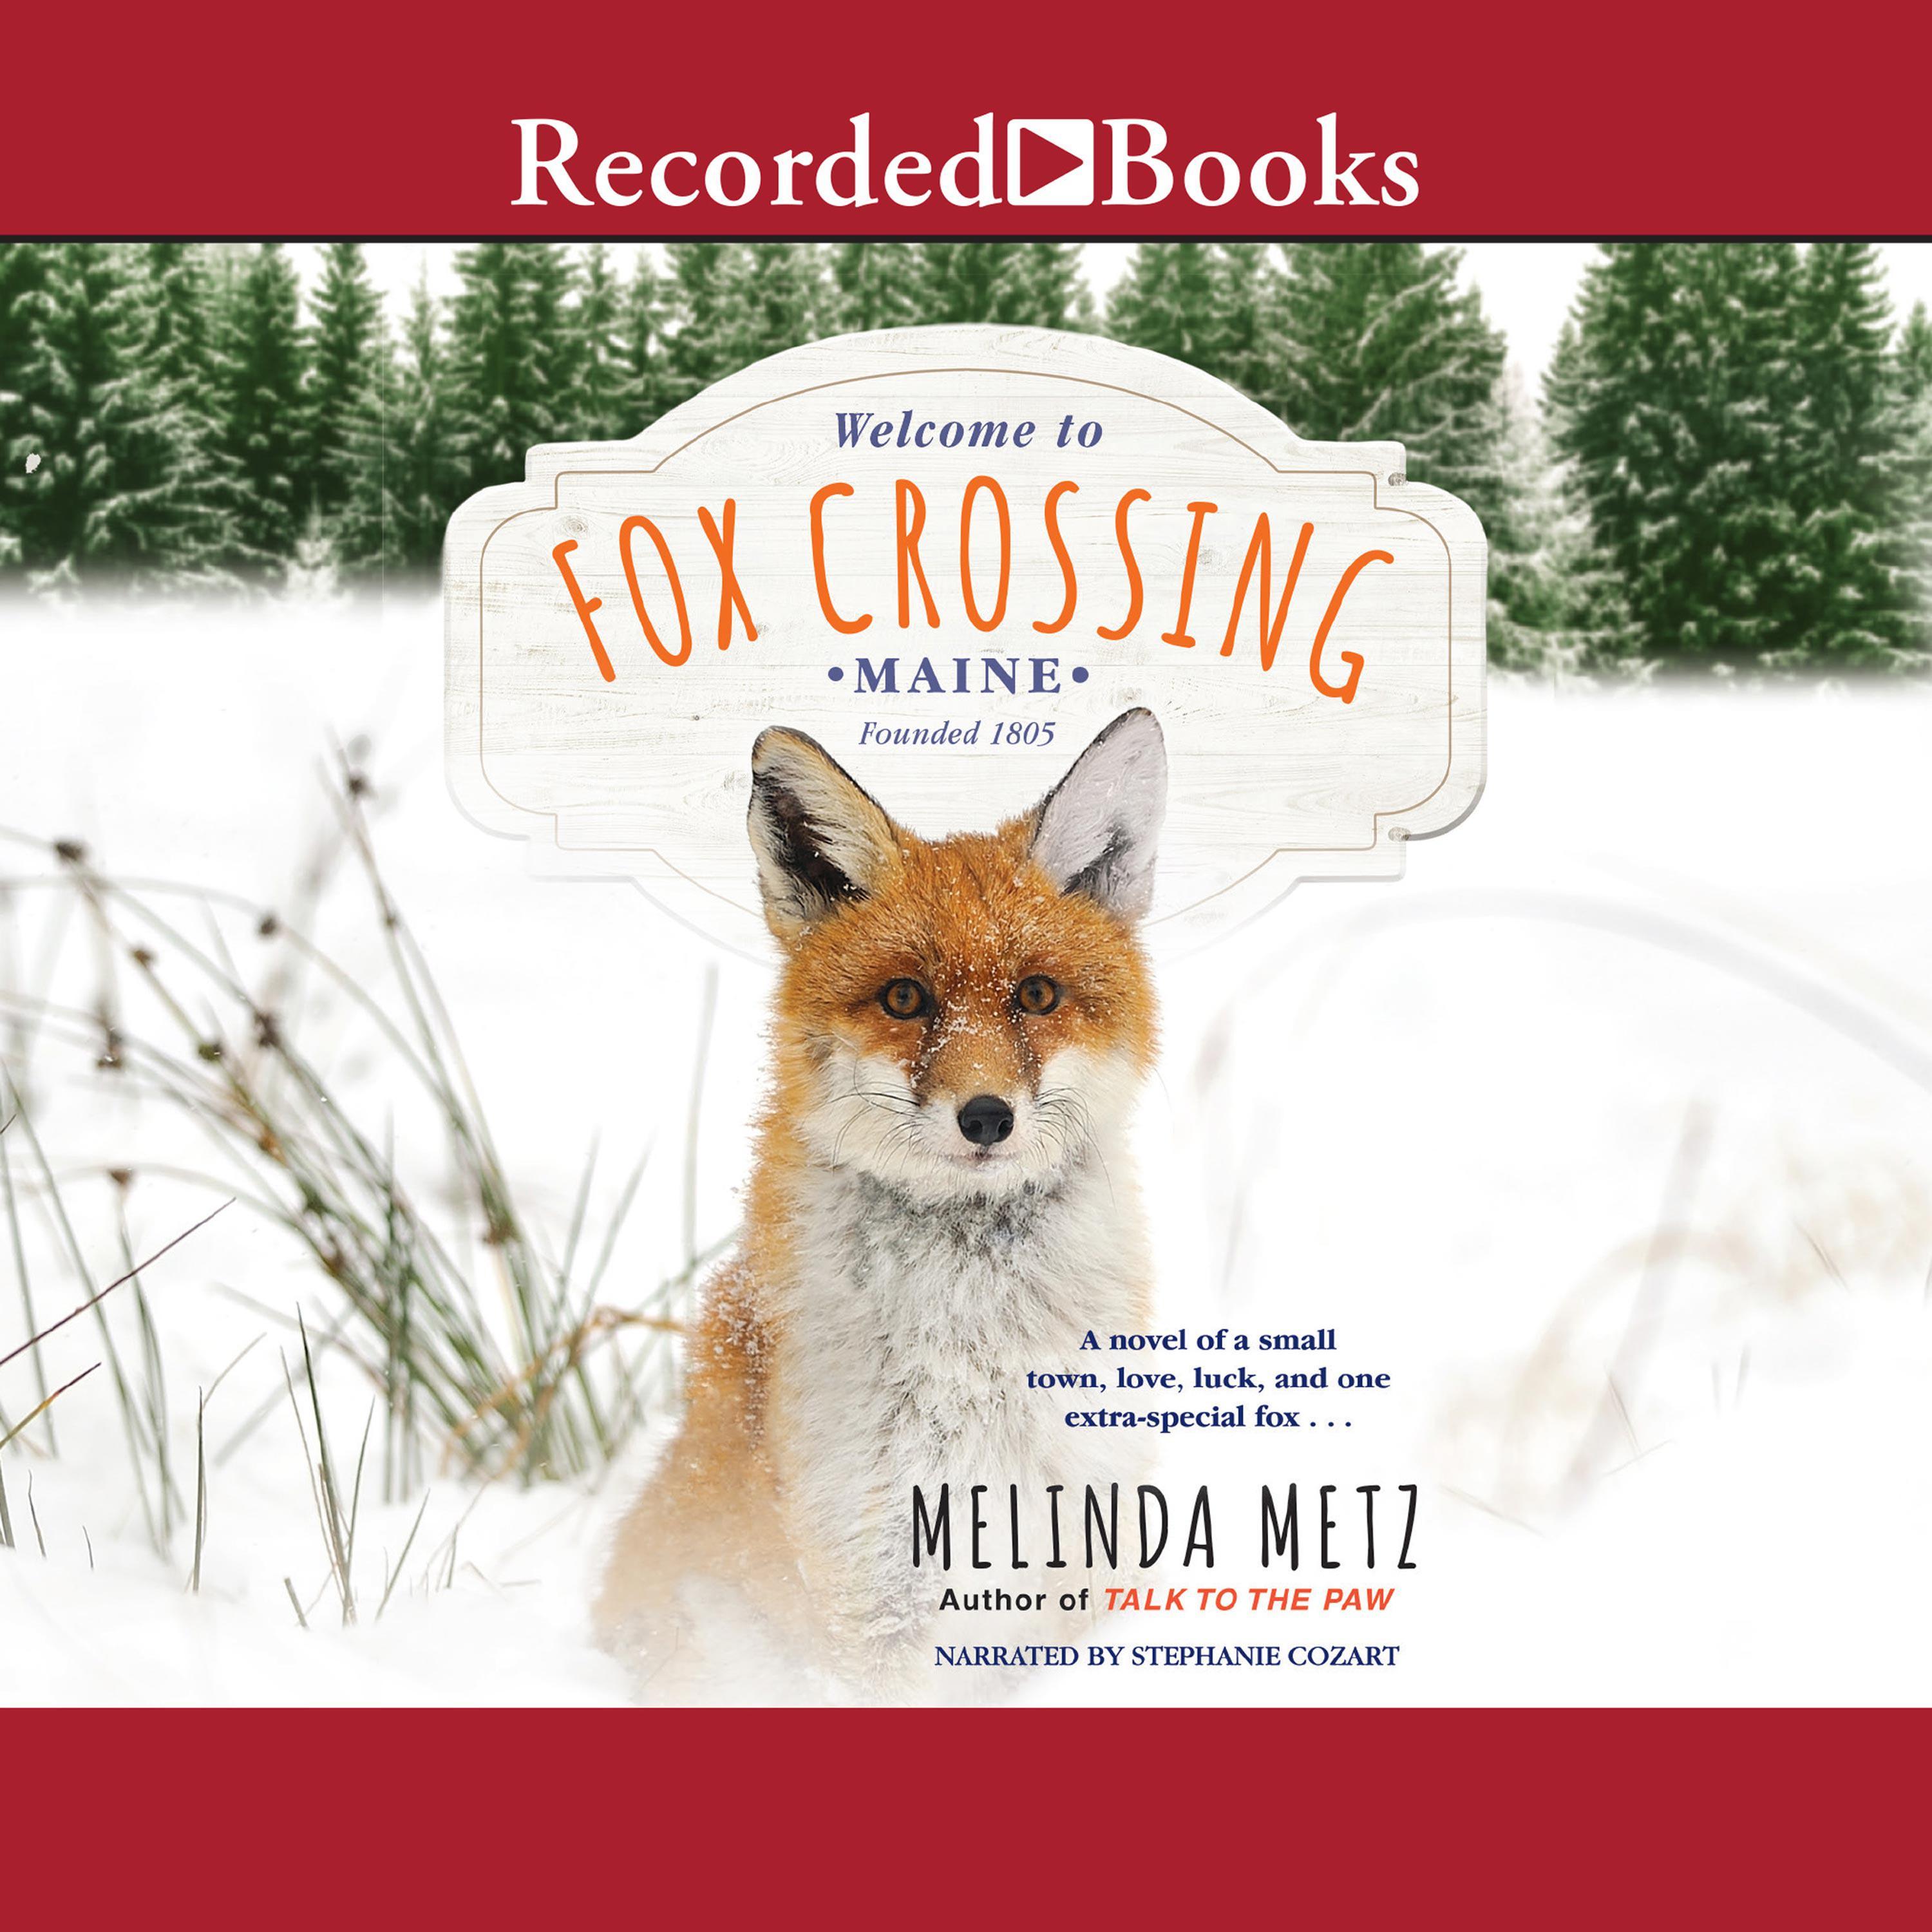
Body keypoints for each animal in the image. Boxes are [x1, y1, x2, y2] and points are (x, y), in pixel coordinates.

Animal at [593, 707, 1168, 1700]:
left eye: (1037, 994)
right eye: (905, 998)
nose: (986, 1117)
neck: (979, 1360)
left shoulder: (1081, 1545)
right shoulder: (870, 1585)